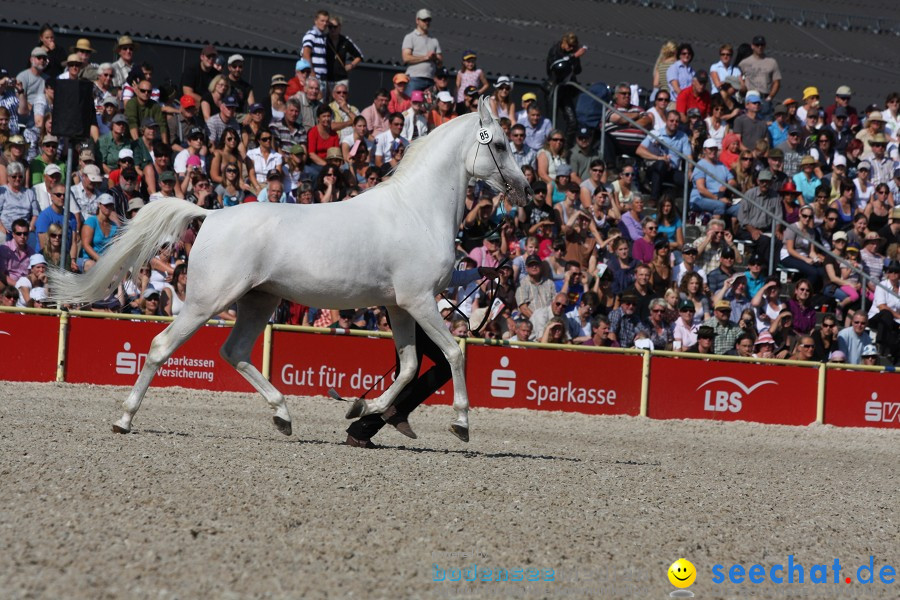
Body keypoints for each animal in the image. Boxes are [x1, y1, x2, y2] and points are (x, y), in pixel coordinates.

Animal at [51, 98, 528, 442]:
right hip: (208, 300)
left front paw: (362, 409)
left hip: (258, 301)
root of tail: (210, 214)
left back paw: (283, 415)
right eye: (500, 144)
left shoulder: (400, 306)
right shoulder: (420, 301)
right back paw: (124, 420)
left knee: (235, 352)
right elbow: (452, 353)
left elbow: (409, 366)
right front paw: (461, 423)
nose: (525, 190)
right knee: (161, 346)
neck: (416, 210)